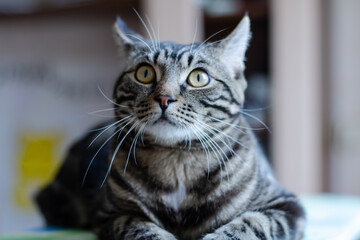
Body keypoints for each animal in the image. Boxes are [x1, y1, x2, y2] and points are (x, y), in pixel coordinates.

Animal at [36, 15, 306, 240]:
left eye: (199, 77)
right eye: (144, 73)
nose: (165, 98)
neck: (178, 161)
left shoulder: (285, 205)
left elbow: (249, 223)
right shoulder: (112, 214)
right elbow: (140, 227)